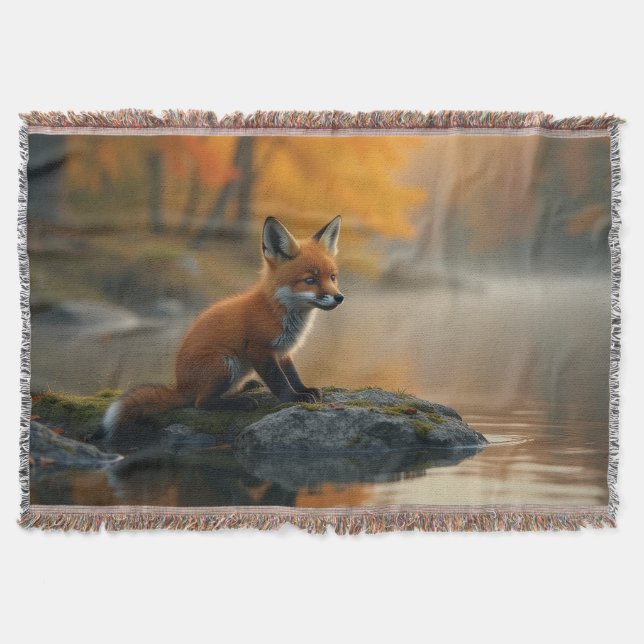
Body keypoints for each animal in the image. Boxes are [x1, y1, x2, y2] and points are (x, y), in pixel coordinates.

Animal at [102, 215, 344, 440]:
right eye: (310, 280)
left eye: (332, 277)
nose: (339, 297)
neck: (278, 311)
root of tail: (180, 386)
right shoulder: (259, 349)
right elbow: (279, 380)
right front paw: (292, 398)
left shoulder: (283, 351)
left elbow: (292, 375)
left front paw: (303, 390)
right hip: (225, 363)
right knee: (201, 402)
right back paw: (242, 402)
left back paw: (246, 387)